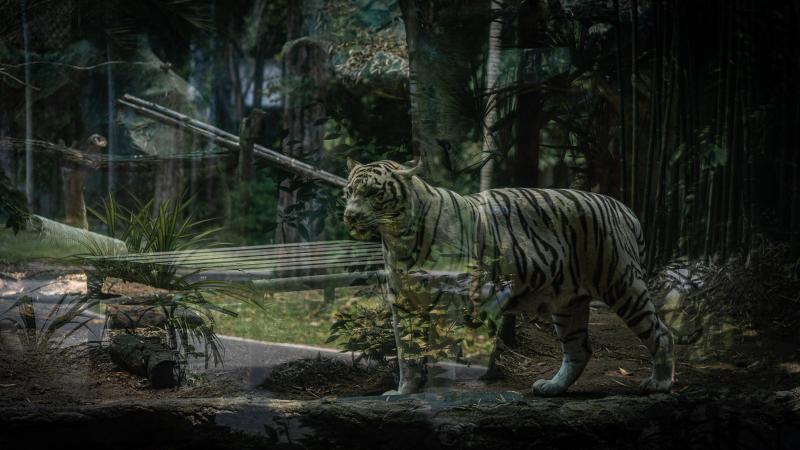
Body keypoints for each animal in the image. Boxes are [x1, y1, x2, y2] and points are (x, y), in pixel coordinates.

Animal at [342, 158, 675, 396]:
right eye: (349, 192)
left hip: (622, 284)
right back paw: (552, 388)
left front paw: (434, 391)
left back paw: (659, 384)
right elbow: (407, 353)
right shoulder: (403, 303)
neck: (398, 239)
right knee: (579, 349)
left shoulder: (448, 301)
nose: (350, 215)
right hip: (568, 303)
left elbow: (439, 350)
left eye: (373, 192)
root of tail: (623, 207)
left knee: (662, 333)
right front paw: (404, 392)